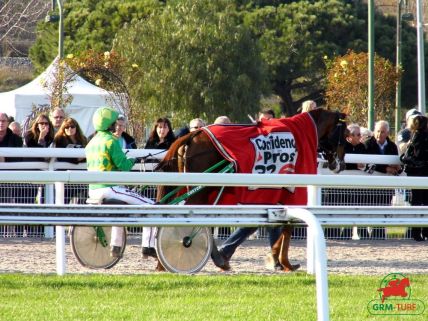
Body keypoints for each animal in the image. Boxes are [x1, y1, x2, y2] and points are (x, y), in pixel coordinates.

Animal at [155, 109, 346, 272]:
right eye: (344, 134)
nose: (340, 165)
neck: (302, 133)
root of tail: (193, 134)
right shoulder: (289, 191)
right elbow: (287, 226)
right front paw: (284, 262)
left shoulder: (270, 194)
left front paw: (275, 258)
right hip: (202, 190)